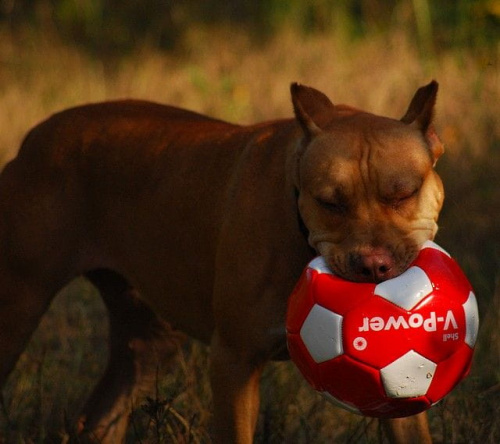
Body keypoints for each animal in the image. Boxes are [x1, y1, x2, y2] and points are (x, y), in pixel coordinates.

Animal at [0, 81, 446, 442]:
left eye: (404, 194)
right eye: (330, 203)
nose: (372, 266)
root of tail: (35, 136)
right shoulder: (234, 361)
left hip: (150, 336)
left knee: (104, 412)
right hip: (18, 307)